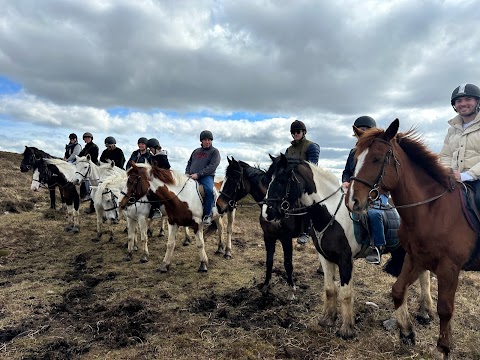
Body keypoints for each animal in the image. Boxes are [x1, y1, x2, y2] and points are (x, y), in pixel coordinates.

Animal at [344, 119, 476, 358]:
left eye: (377, 158)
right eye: (356, 159)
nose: (352, 201)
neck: (432, 210)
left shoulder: (449, 267)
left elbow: (445, 309)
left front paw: (442, 348)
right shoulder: (416, 258)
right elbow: (398, 291)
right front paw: (406, 332)